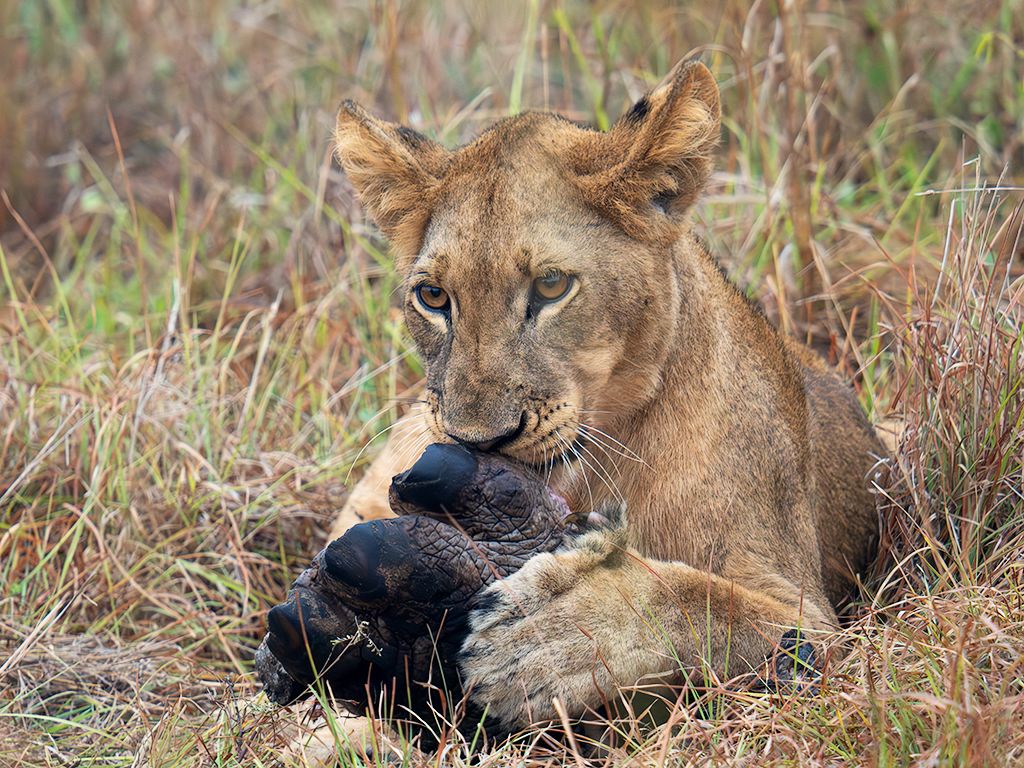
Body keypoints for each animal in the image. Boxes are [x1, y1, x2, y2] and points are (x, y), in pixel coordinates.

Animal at [322, 58, 885, 734]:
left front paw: (550, 635)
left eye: (551, 286)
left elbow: (704, 604)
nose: (477, 442)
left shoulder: (816, 623)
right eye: (433, 297)